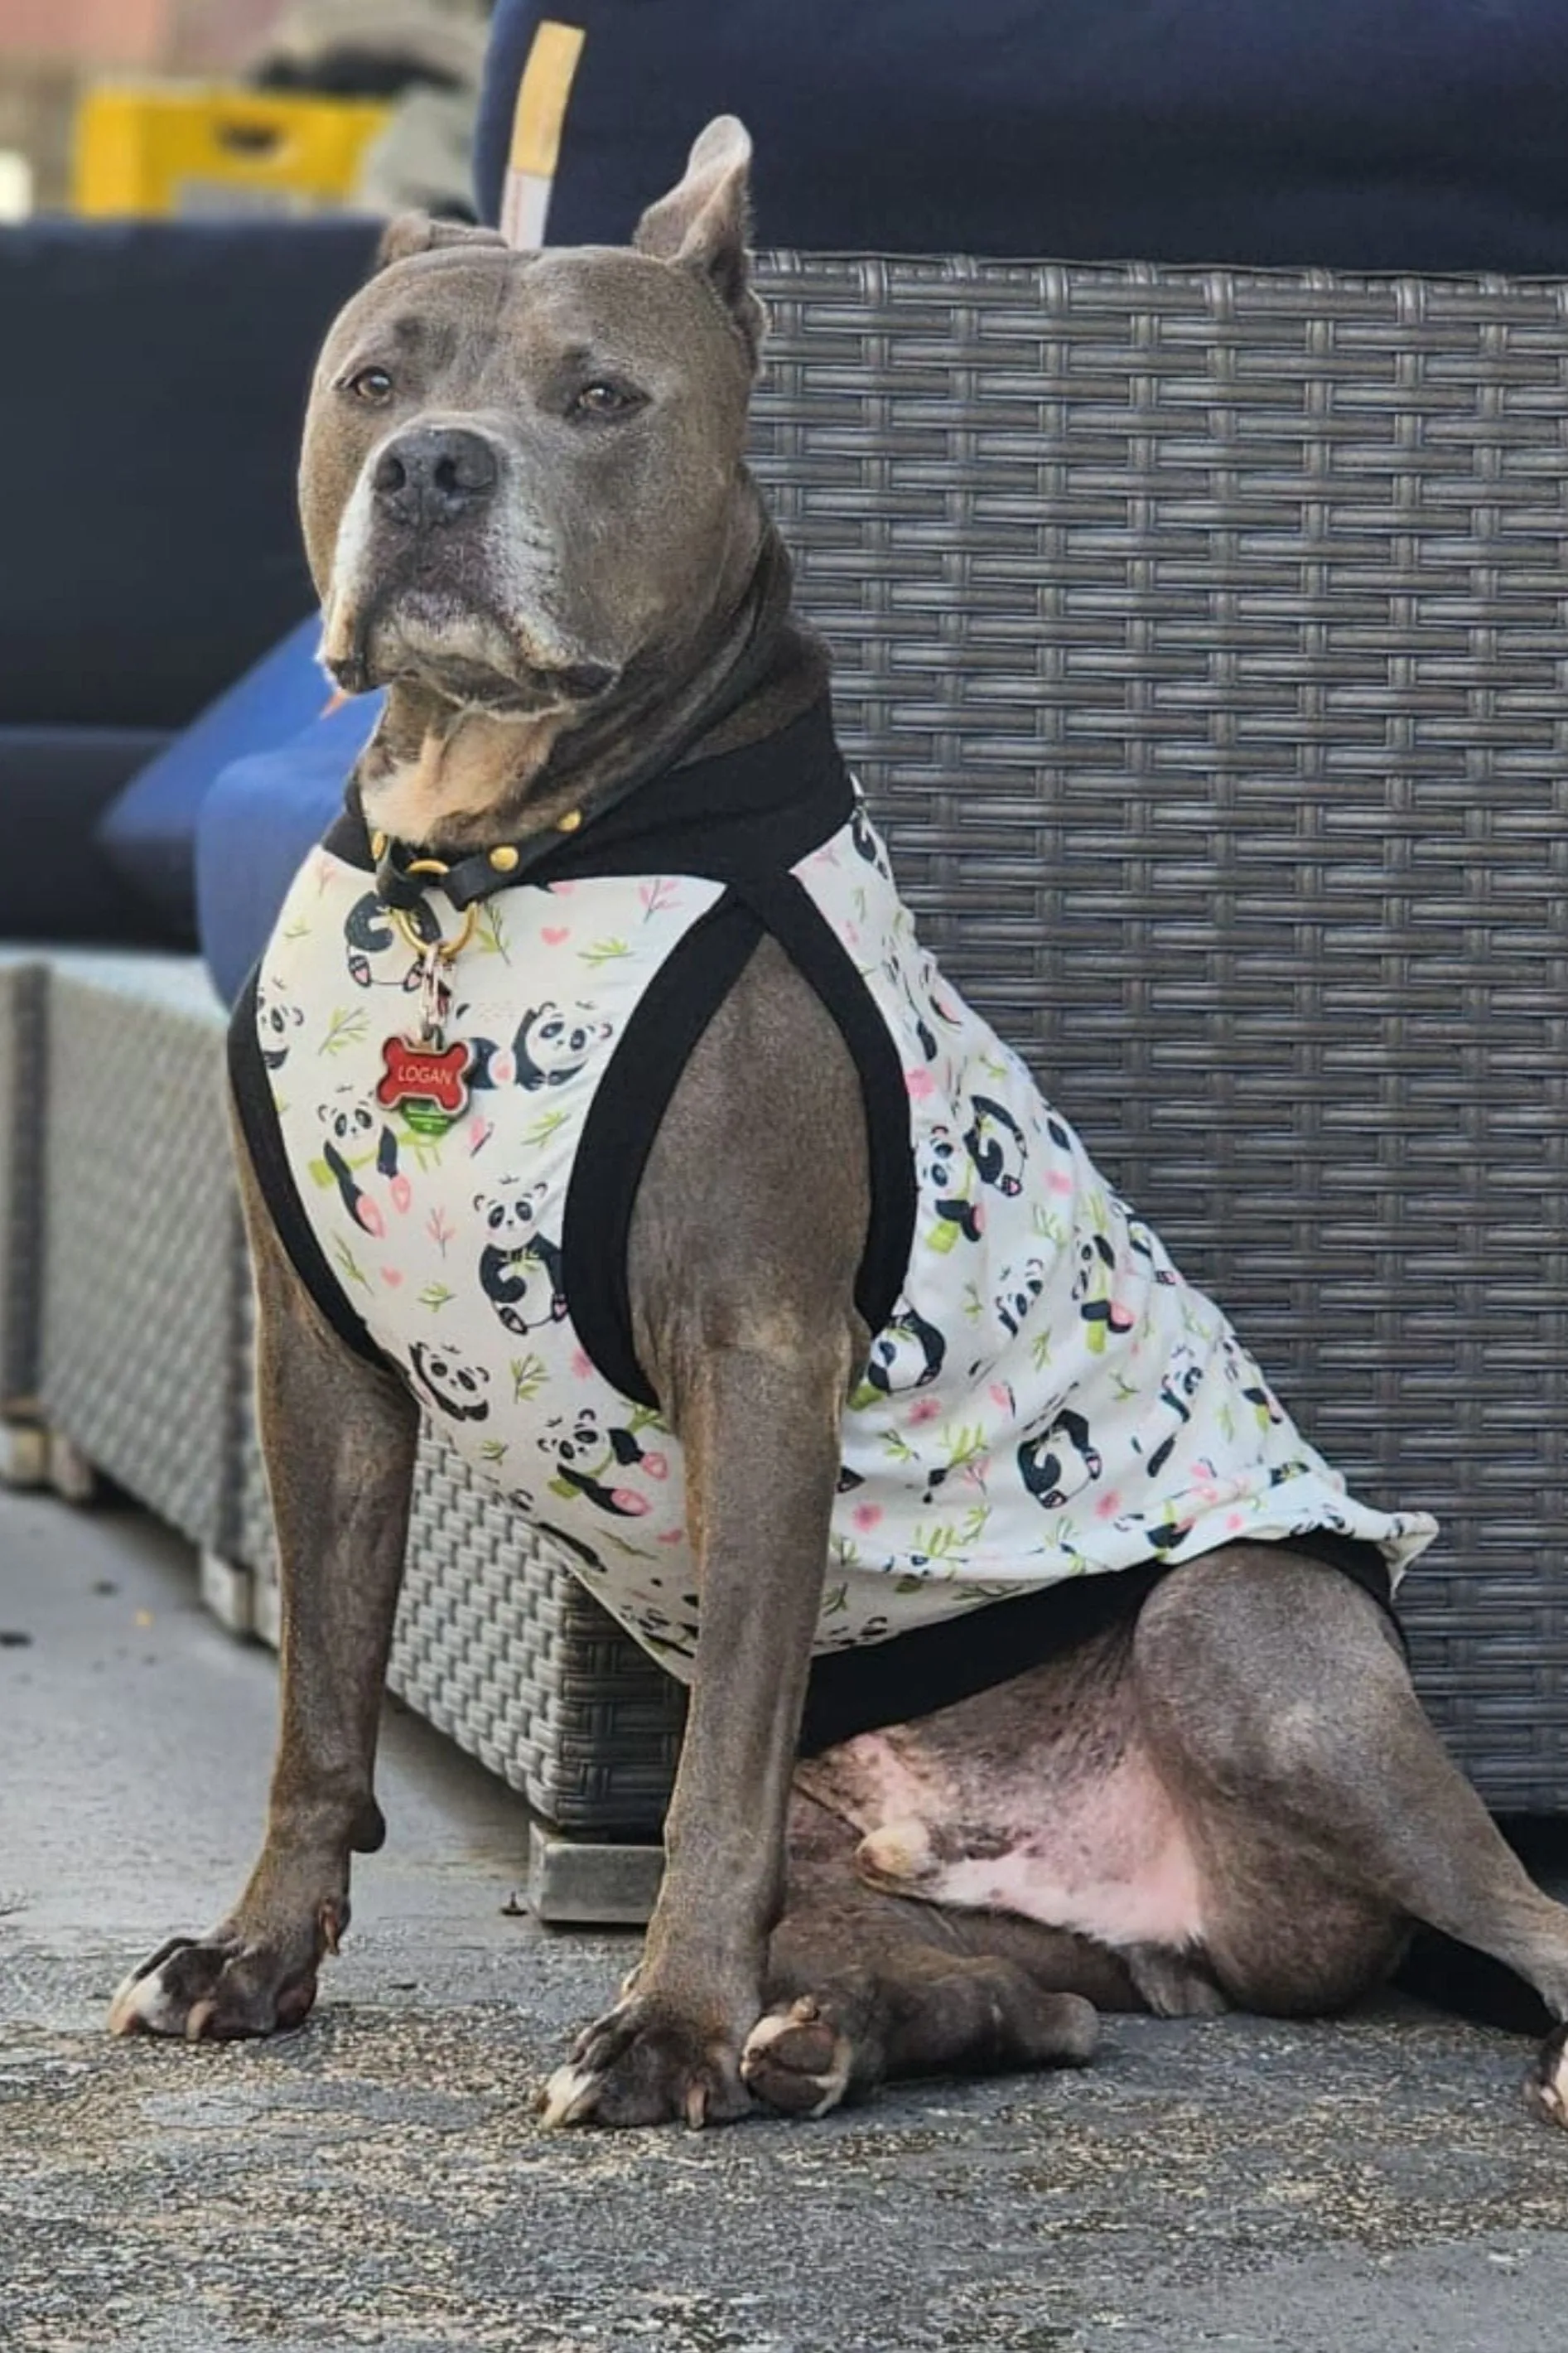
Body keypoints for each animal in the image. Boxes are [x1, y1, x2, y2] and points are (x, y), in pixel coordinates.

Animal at [116, 114, 1568, 2136]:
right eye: (373, 383)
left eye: (599, 396)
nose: (431, 469)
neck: (495, 853)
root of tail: (1169, 1920)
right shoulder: (324, 1368)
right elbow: (320, 1704)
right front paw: (253, 1959)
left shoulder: (758, 1352)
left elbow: (714, 1771)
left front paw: (661, 2032)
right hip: (916, 1880)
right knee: (1023, 2008)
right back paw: (821, 2034)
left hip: (1246, 1656)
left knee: (1515, 1909)